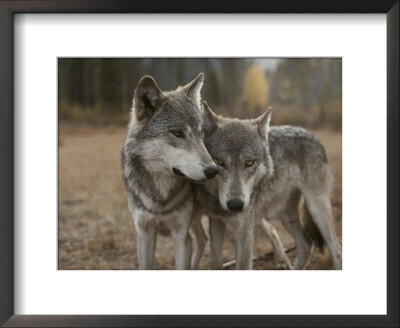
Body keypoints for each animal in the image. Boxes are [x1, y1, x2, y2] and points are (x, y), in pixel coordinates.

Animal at [122, 75, 219, 270]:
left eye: (201, 133)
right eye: (178, 133)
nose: (213, 170)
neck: (161, 197)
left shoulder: (181, 235)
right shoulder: (144, 235)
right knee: (202, 238)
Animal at [192, 102, 342, 270]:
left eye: (249, 162)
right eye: (220, 161)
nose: (236, 205)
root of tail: (313, 135)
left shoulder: (244, 233)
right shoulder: (216, 221)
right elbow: (215, 261)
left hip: (316, 210)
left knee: (336, 250)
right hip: (285, 213)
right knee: (305, 243)